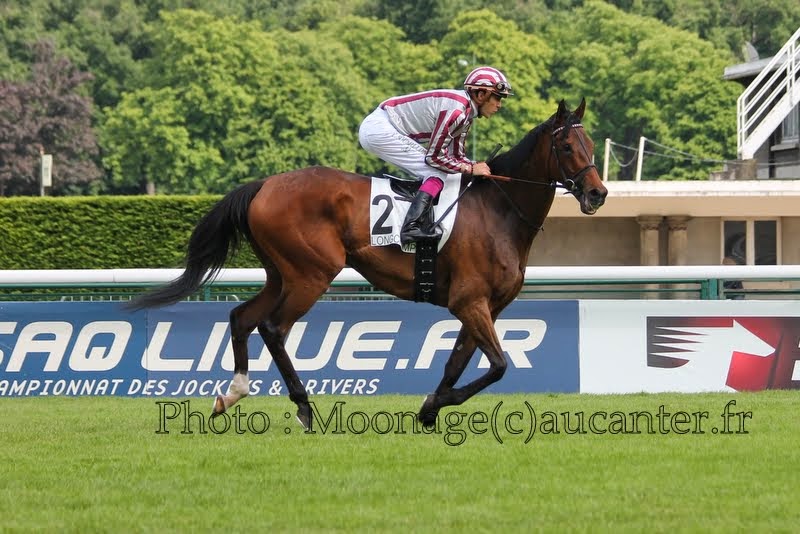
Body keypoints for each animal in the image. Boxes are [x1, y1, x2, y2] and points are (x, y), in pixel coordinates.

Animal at [131, 98, 608, 430]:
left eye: (590, 143)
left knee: (241, 318)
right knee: (273, 328)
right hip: (311, 273)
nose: (598, 193)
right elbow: (498, 365)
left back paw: (232, 394)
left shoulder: (485, 306)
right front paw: (433, 406)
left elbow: (459, 363)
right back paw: (304, 408)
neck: (500, 209)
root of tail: (264, 185)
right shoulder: (469, 302)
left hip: (280, 273)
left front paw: (429, 409)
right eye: (567, 145)